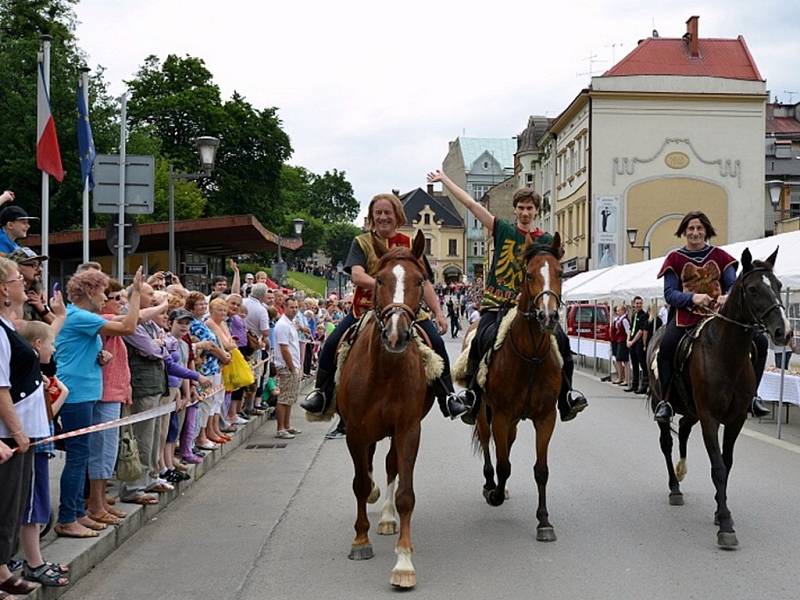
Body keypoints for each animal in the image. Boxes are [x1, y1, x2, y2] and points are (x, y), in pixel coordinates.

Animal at [338, 230, 438, 592]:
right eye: (379, 279)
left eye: (420, 280)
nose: (396, 335)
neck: (384, 371)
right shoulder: (354, 430)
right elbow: (359, 483)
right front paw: (360, 541)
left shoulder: (408, 429)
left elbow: (406, 492)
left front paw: (404, 563)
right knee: (368, 468)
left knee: (390, 465)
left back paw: (386, 516)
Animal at [472, 234, 564, 544]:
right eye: (529, 274)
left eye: (560, 273)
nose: (548, 317)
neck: (531, 356)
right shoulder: (500, 416)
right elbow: (503, 465)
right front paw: (496, 494)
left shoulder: (546, 418)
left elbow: (542, 470)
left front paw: (544, 520)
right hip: (484, 413)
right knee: (488, 446)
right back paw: (490, 484)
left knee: (507, 446)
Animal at [648, 247, 796, 548]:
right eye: (752, 289)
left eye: (778, 286)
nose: (783, 332)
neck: (726, 354)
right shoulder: (710, 418)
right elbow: (717, 466)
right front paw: (726, 524)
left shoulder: (735, 419)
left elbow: (726, 465)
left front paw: (720, 510)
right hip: (665, 405)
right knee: (667, 442)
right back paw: (675, 487)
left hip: (691, 411)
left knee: (683, 430)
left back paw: (681, 471)